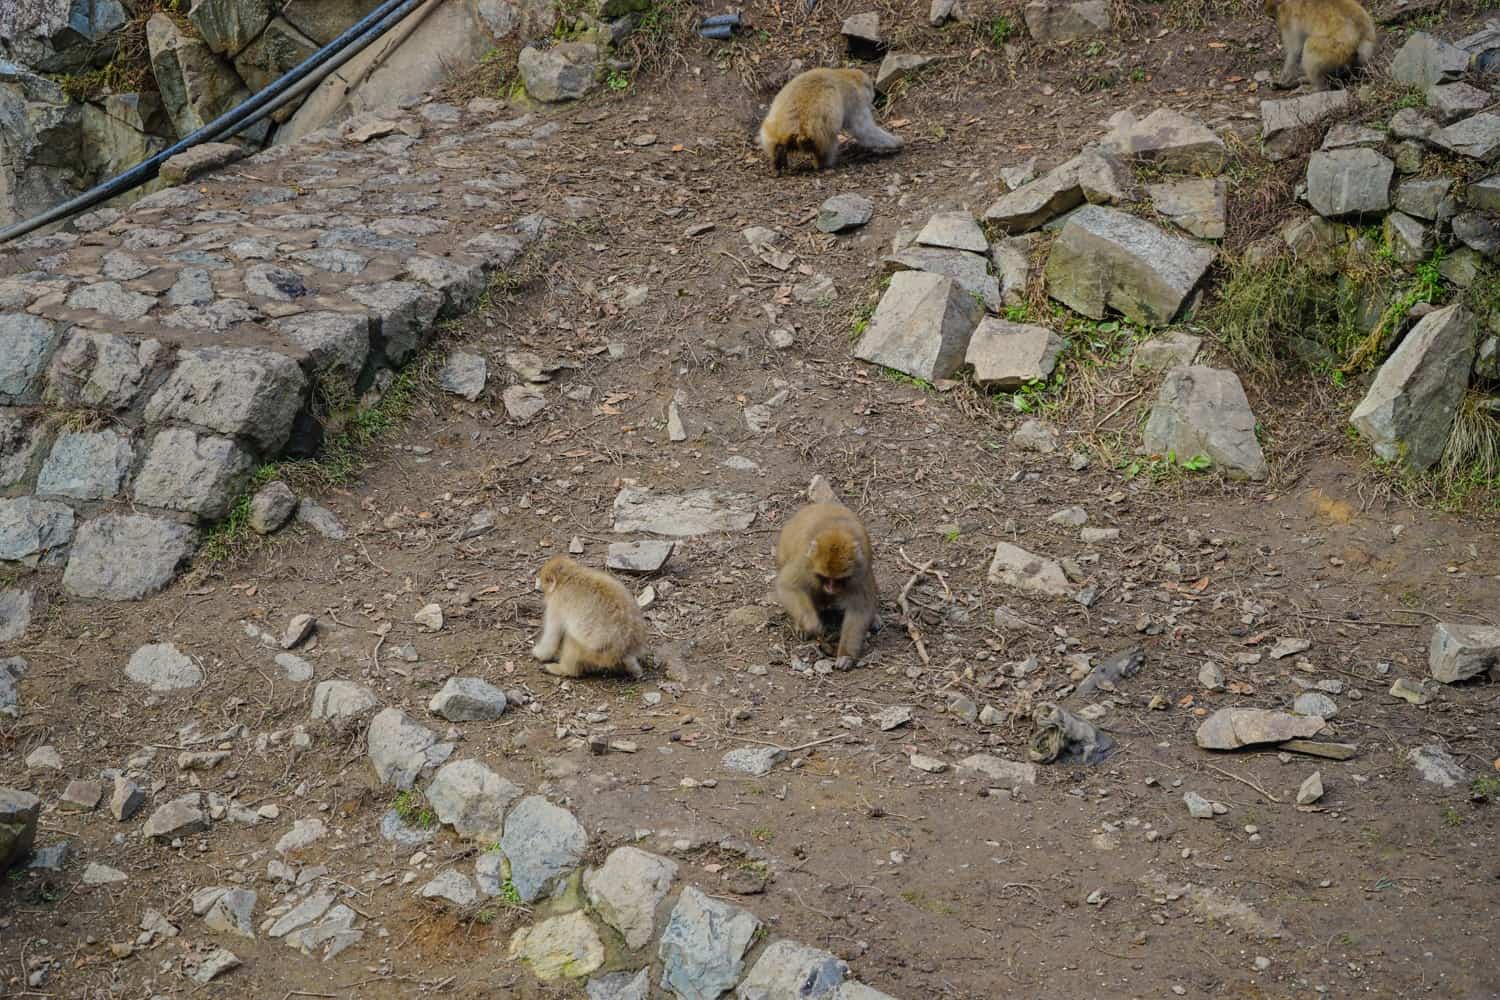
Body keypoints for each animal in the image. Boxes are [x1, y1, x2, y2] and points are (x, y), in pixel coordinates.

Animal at [762, 67, 900, 175]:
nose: (875, 96)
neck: (846, 76)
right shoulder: (855, 99)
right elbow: (863, 129)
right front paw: (896, 142)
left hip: (772, 131)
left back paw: (778, 158)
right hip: (818, 135)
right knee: (830, 138)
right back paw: (824, 163)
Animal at [774, 500, 876, 671]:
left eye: (839, 580)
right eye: (825, 577)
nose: (831, 588)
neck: (836, 528)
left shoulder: (860, 571)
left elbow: (859, 608)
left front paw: (846, 656)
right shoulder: (805, 563)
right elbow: (789, 586)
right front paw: (811, 624)